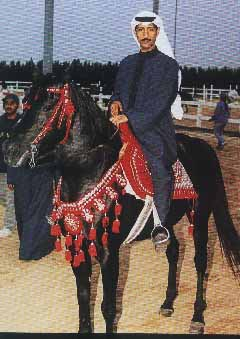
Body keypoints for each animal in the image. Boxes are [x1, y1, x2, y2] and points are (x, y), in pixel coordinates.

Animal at [2, 81, 239, 334]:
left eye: (48, 105)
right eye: (26, 103)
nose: (9, 149)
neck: (89, 172)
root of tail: (203, 146)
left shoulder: (109, 252)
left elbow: (108, 307)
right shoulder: (77, 245)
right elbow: (83, 297)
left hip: (201, 215)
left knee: (200, 261)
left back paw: (197, 317)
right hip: (167, 223)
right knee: (174, 251)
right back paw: (167, 303)